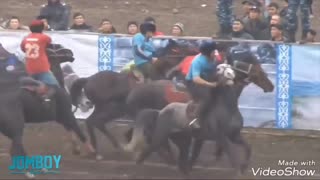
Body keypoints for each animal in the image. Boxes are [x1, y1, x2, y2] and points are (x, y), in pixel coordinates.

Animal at [0, 44, 93, 177]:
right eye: (55, 46)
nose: (70, 52)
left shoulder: (61, 118)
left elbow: (70, 129)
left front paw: (77, 149)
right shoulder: (67, 114)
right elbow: (78, 130)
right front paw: (92, 151)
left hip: (11, 130)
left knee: (19, 149)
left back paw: (37, 169)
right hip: (17, 126)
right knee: (16, 150)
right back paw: (28, 172)